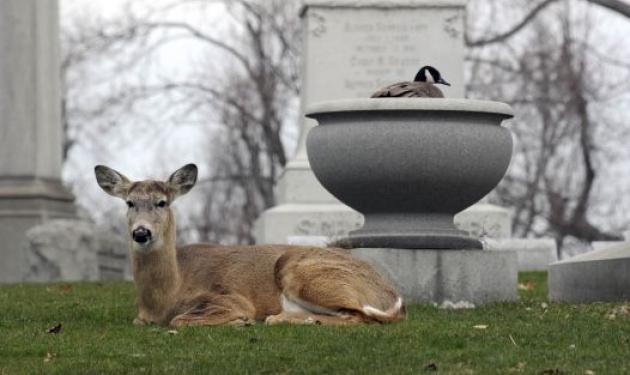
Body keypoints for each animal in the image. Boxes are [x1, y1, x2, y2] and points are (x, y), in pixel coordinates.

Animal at [96, 164, 408, 326]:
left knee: (358, 316)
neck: (164, 298)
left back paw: (277, 319)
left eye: (162, 202)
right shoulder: (141, 317)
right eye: (129, 203)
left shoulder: (230, 297)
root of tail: (395, 298)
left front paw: (240, 321)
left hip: (302, 271)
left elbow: (180, 320)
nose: (141, 232)